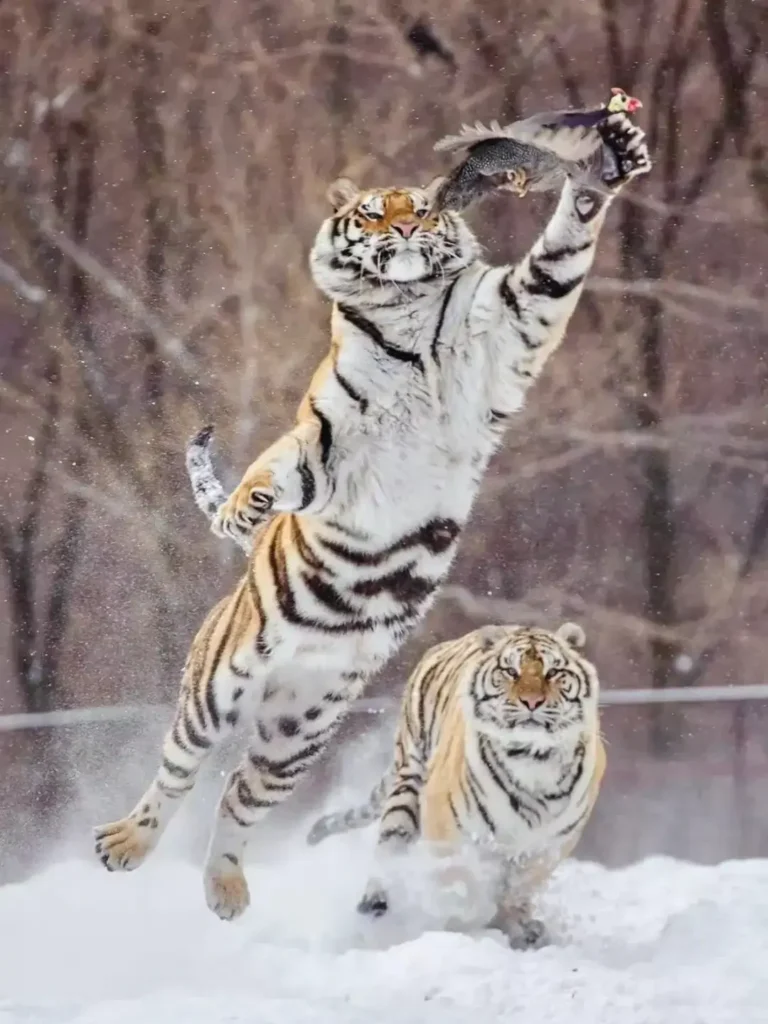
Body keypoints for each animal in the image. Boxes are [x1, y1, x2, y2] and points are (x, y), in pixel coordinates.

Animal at [306, 621, 604, 948]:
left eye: (552, 672)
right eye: (511, 671)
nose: (532, 702)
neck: (532, 761)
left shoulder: (551, 842)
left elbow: (521, 886)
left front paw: (520, 927)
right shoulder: (449, 826)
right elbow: (459, 879)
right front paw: (464, 919)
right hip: (408, 784)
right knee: (389, 851)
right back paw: (376, 905)